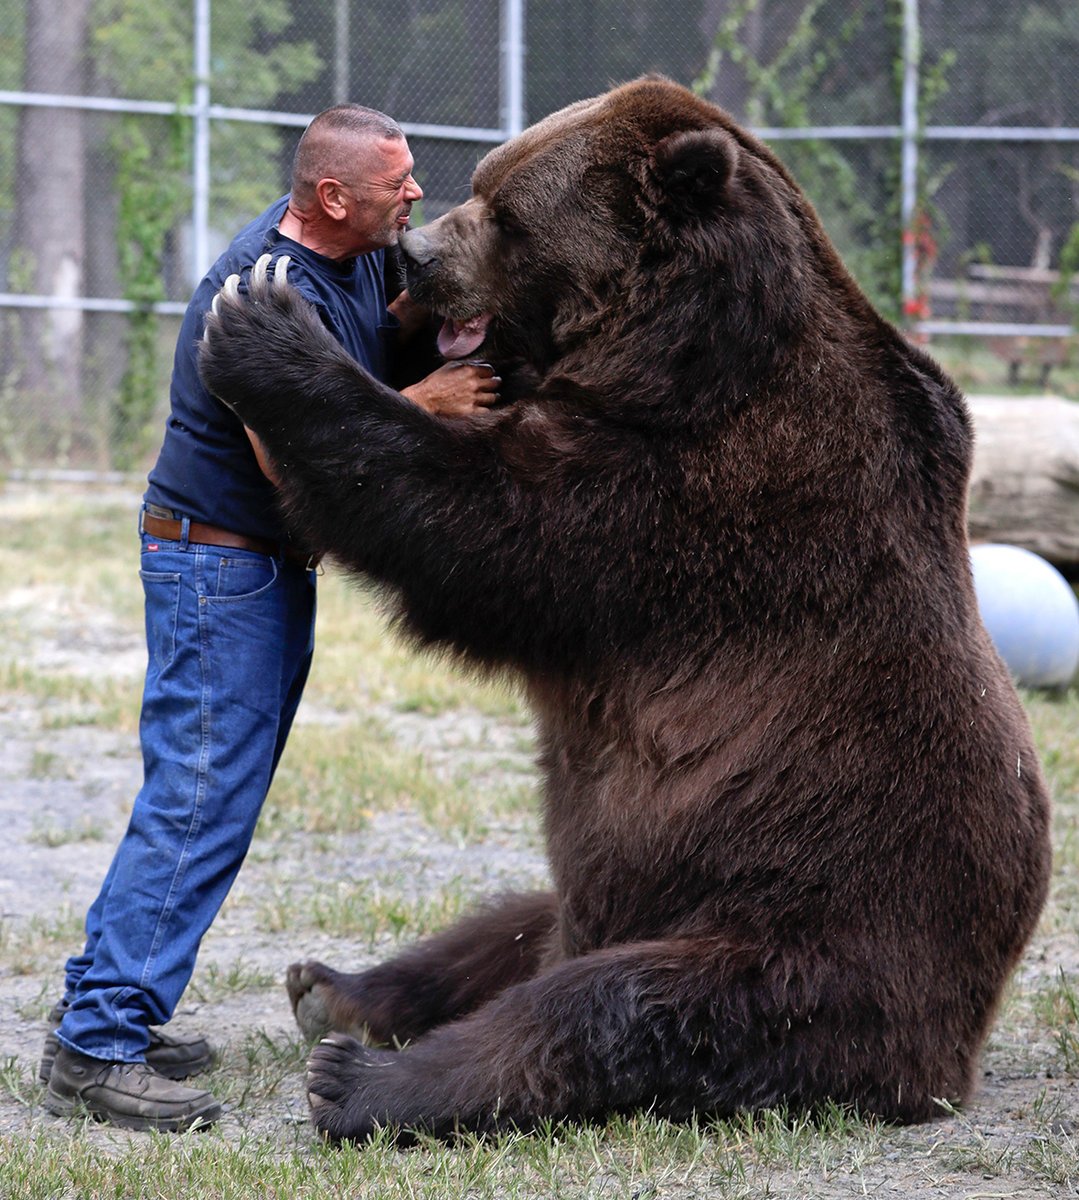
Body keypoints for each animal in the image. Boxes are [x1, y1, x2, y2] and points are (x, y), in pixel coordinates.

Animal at [197, 76, 1052, 1142]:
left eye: (508, 214)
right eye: (481, 183)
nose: (415, 254)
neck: (677, 354)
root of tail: (967, 1035)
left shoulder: (699, 493)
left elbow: (486, 526)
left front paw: (265, 328)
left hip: (806, 927)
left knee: (615, 1008)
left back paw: (361, 1079)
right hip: (610, 905)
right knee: (508, 922)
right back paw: (337, 988)